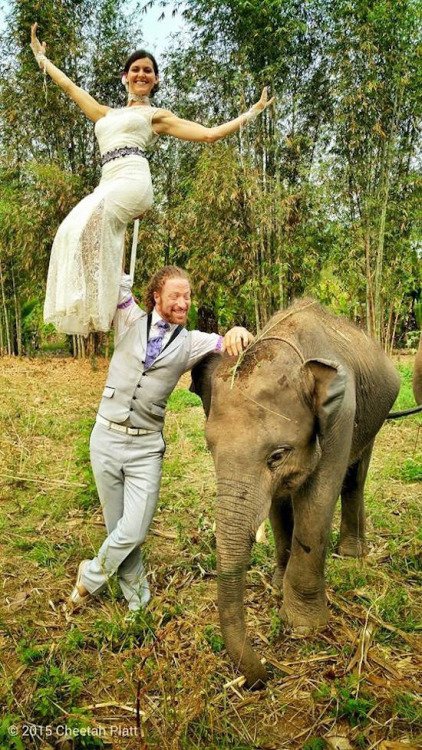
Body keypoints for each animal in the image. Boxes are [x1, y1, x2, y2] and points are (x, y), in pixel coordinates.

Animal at [193, 298, 400, 688]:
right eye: (210, 448)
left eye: (277, 455)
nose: (264, 674)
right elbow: (278, 504)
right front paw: (277, 586)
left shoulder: (342, 412)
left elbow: (317, 498)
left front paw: (304, 625)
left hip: (376, 418)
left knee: (355, 477)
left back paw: (352, 554)